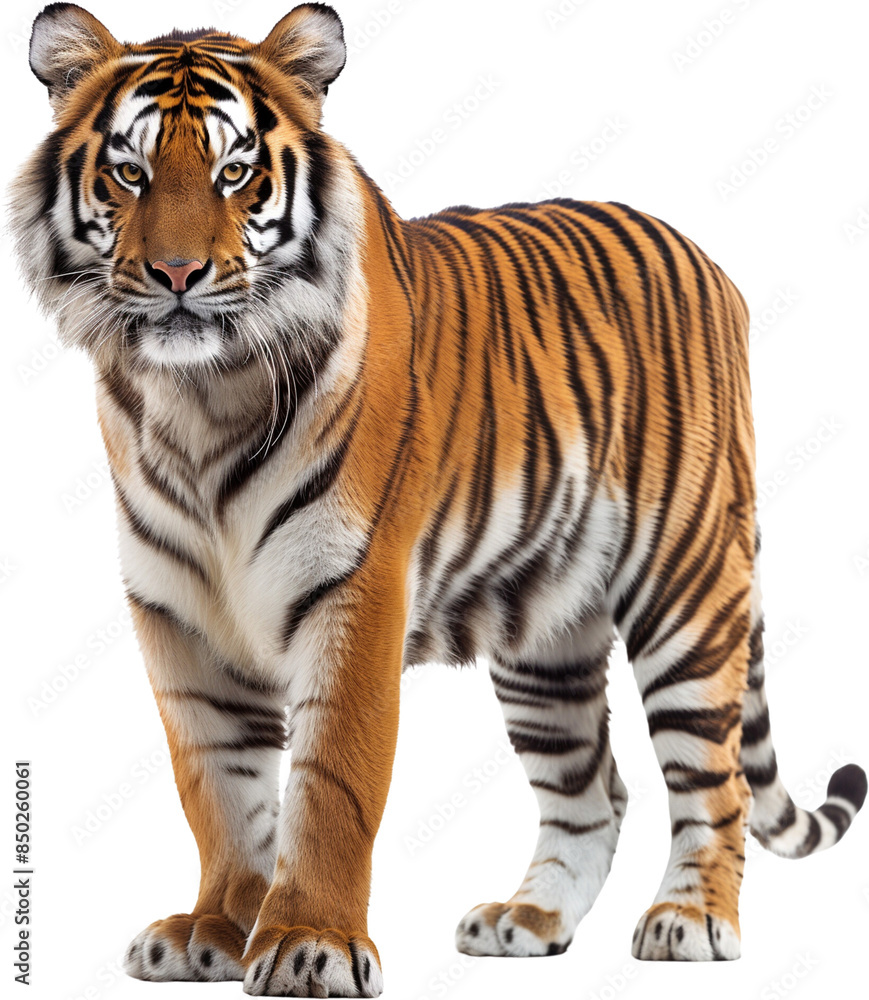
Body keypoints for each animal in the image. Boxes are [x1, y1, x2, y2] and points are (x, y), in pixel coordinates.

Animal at [12, 2, 866, 996]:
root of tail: (702, 257)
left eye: (234, 173)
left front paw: (307, 944)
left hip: (685, 586)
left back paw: (690, 918)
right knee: (592, 791)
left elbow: (332, 784)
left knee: (712, 778)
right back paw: (528, 920)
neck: (199, 399)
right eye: (130, 172)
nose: (178, 275)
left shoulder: (354, 589)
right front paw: (216, 930)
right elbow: (215, 788)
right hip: (545, 631)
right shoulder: (178, 614)